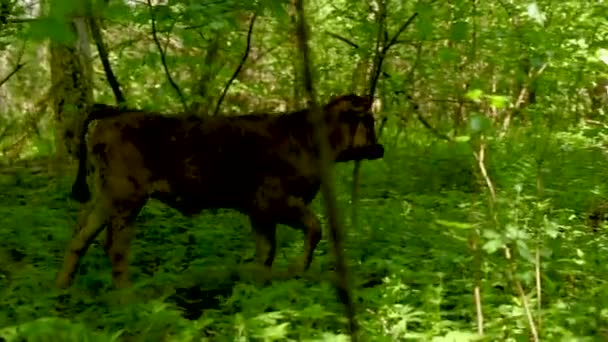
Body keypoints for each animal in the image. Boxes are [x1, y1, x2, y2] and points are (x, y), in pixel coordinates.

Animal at [54, 95, 382, 290]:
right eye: (368, 120)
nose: (380, 147)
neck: (306, 137)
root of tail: (114, 114)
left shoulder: (259, 213)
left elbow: (266, 253)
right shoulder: (276, 201)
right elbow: (314, 228)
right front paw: (297, 269)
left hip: (105, 199)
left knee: (80, 238)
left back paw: (61, 291)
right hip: (126, 199)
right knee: (116, 248)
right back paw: (126, 298)